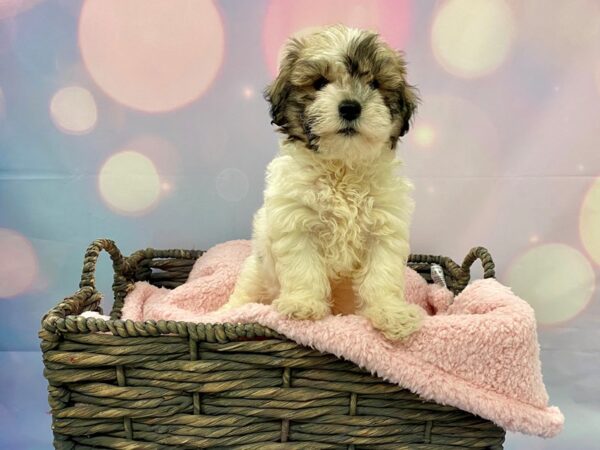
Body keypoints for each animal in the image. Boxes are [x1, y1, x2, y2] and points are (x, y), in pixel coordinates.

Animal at [223, 24, 424, 340]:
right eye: (319, 83)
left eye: (375, 84)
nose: (350, 107)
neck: (341, 167)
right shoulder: (296, 223)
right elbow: (303, 268)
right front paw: (303, 305)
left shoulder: (385, 228)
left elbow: (381, 276)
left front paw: (391, 313)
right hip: (257, 273)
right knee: (245, 293)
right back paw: (225, 314)